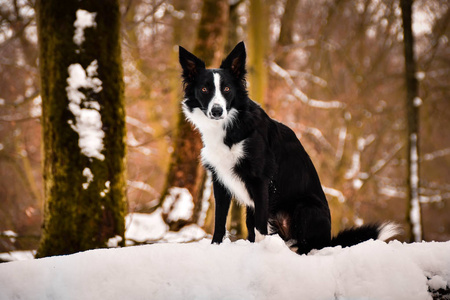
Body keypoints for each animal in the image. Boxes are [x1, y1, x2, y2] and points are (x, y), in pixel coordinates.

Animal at [179, 41, 398, 253]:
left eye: (226, 89)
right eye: (205, 89)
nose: (217, 111)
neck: (231, 125)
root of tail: (328, 239)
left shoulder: (260, 181)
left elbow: (260, 227)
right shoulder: (220, 180)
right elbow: (219, 221)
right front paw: (215, 247)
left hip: (304, 207)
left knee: (308, 245)